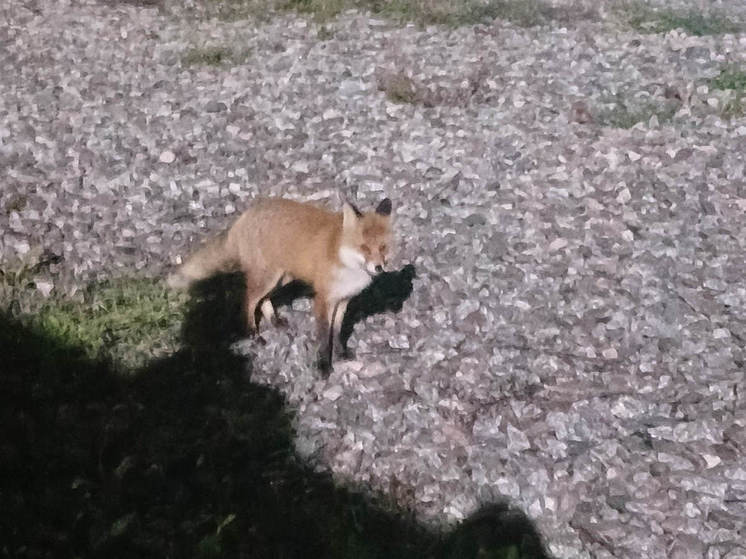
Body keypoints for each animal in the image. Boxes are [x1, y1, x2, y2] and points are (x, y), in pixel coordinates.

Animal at [166, 197, 392, 376]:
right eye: (364, 248)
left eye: (383, 247)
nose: (378, 267)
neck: (345, 262)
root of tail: (245, 216)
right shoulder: (322, 299)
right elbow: (323, 336)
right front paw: (323, 366)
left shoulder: (343, 300)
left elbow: (336, 332)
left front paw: (341, 354)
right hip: (267, 278)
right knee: (248, 300)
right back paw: (253, 334)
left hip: (281, 278)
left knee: (263, 299)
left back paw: (274, 320)